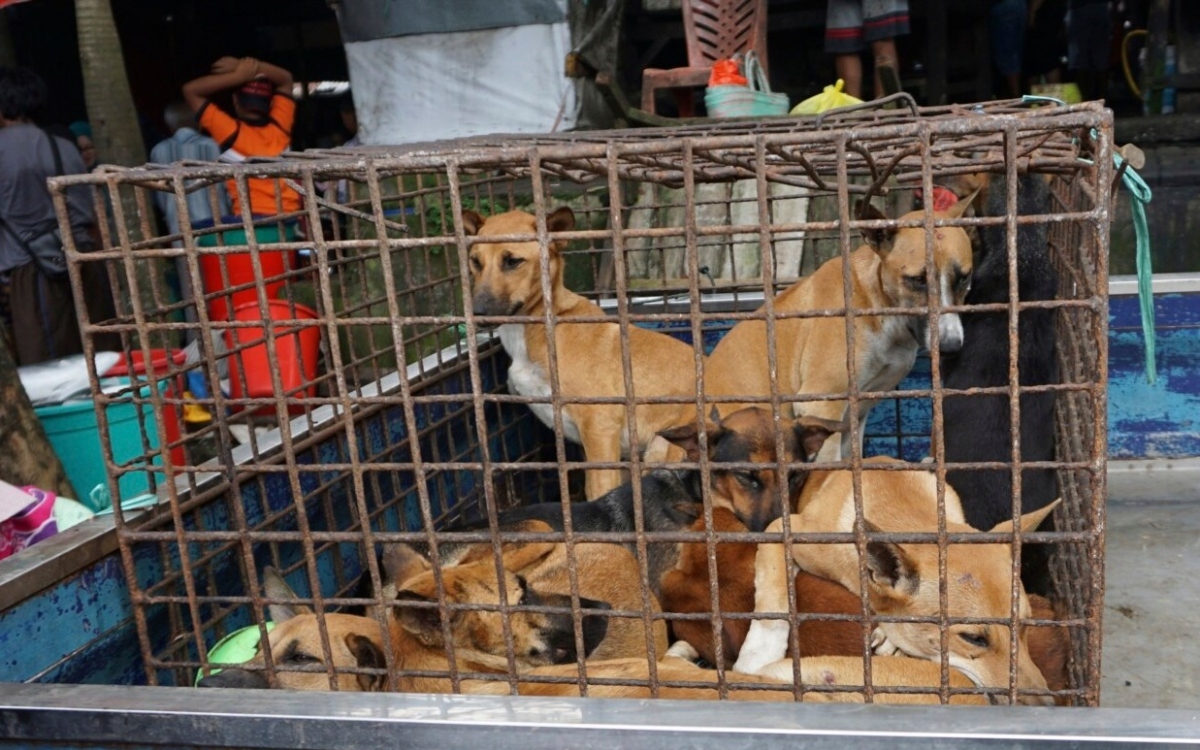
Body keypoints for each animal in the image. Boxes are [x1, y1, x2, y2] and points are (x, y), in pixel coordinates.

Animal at [460, 205, 700, 496]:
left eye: (513, 261)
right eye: (475, 261)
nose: (477, 312)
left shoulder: (600, 426)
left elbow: (599, 492)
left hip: (662, 447)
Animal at [705, 192, 979, 456]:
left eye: (964, 278)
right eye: (918, 280)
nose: (951, 346)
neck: (874, 301)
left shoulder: (855, 418)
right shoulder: (822, 406)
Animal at [729, 458, 1060, 705]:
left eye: (1026, 624)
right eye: (973, 638)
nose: (1048, 704)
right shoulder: (786, 529)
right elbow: (773, 599)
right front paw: (757, 653)